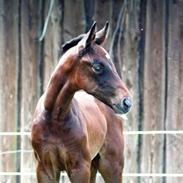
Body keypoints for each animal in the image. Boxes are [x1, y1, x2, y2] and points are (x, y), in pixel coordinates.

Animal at [31, 21, 132, 183]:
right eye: (97, 66)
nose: (126, 102)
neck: (54, 119)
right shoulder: (45, 169)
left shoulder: (79, 168)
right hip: (93, 165)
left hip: (111, 165)